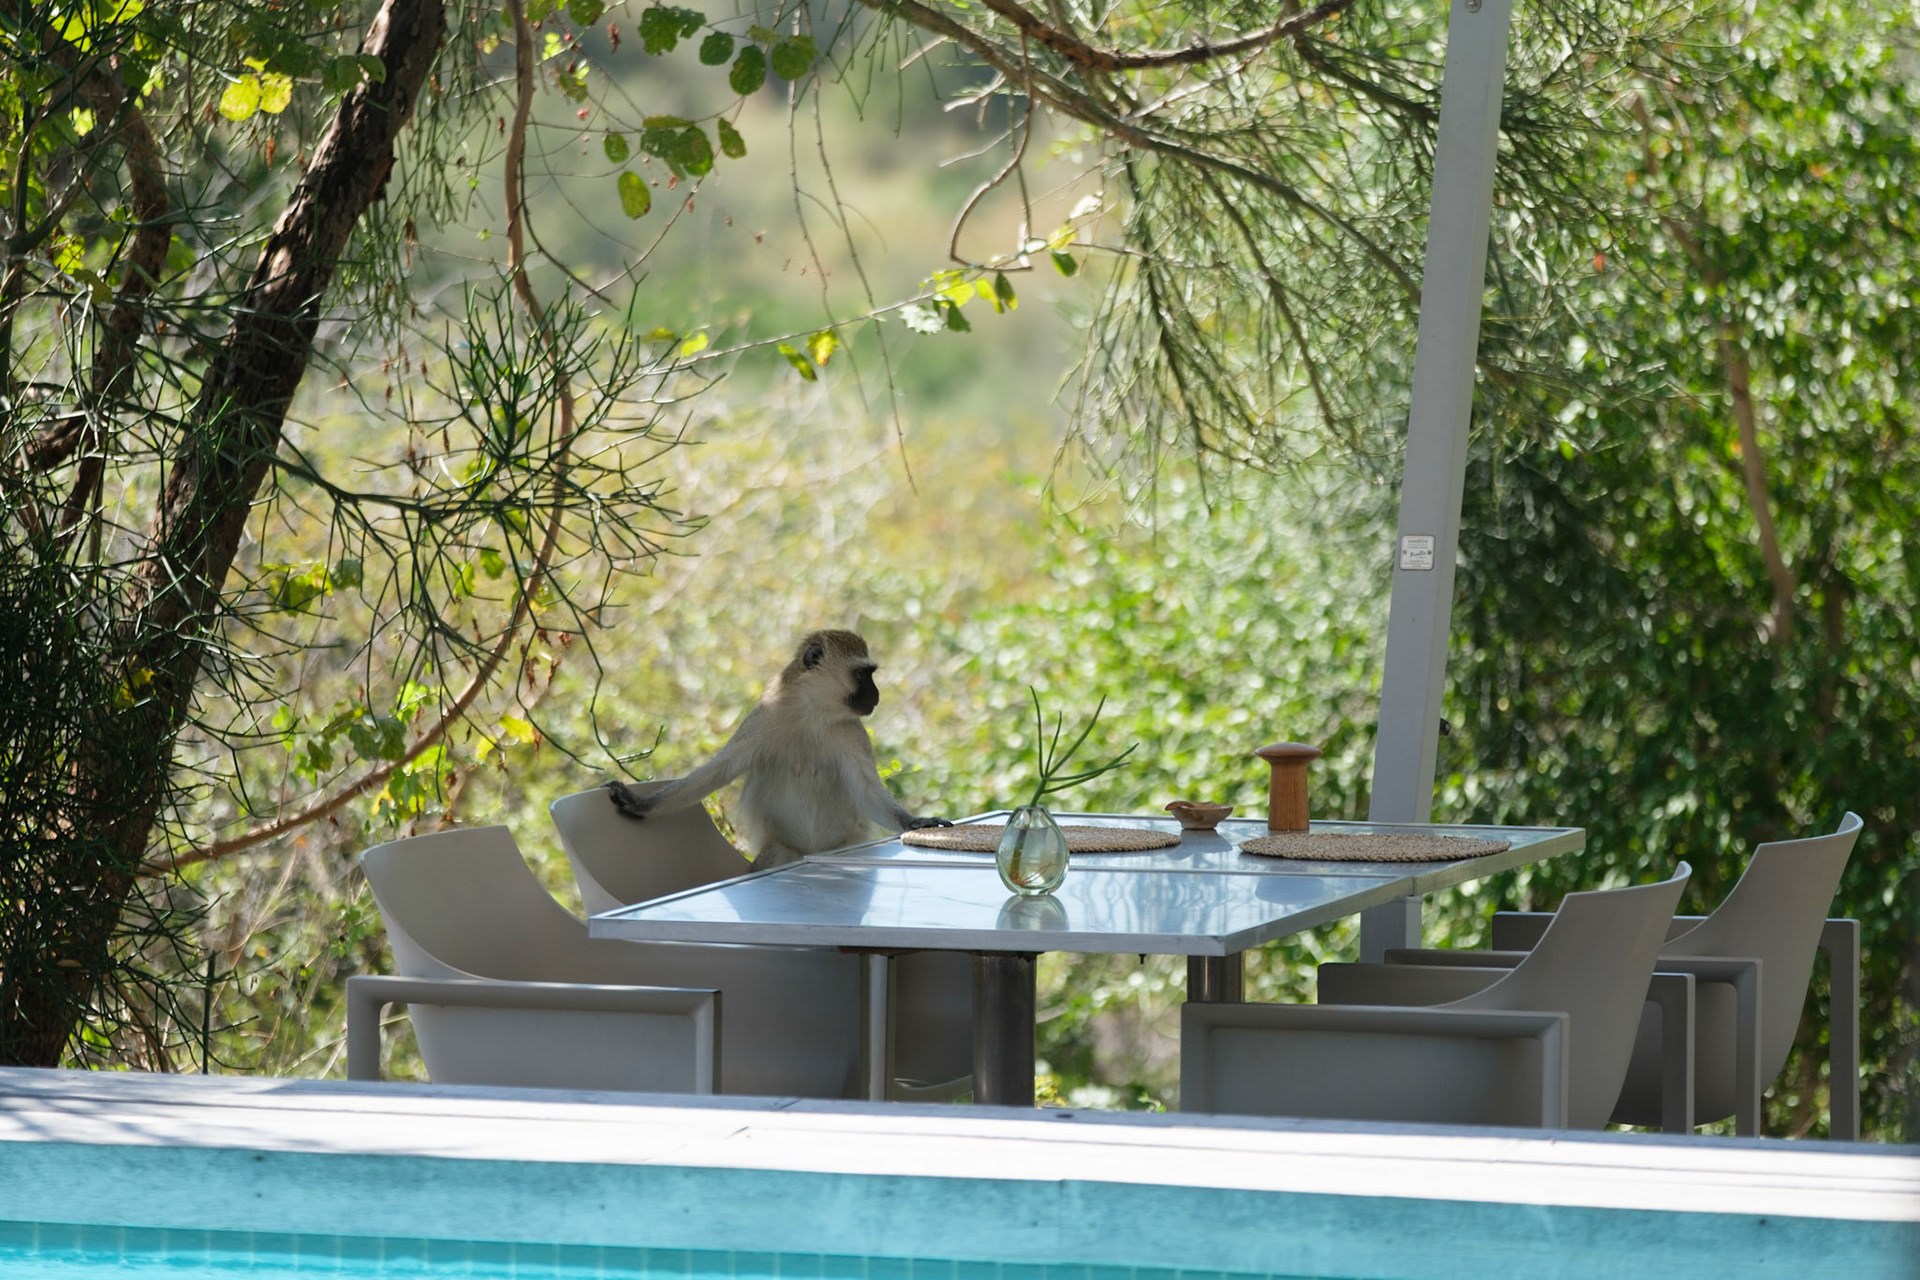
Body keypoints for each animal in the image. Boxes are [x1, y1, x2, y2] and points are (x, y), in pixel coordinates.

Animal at [606, 629, 951, 864]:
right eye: (863, 674)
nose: (877, 694)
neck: (811, 712)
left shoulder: (853, 734)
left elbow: (867, 791)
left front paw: (915, 822)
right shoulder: (762, 719)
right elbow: (717, 771)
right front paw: (641, 805)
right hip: (782, 848)